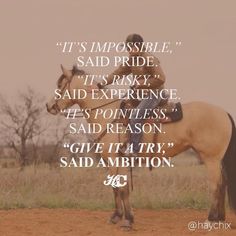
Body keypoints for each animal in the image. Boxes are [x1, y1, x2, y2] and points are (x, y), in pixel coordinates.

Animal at [46, 65, 236, 230]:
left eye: (60, 85)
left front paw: (128, 220)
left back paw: (210, 220)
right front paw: (116, 216)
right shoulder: (111, 162)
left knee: (216, 185)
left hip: (211, 159)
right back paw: (220, 219)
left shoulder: (118, 160)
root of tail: (223, 112)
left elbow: (123, 190)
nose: (49, 106)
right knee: (223, 183)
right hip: (216, 159)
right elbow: (115, 188)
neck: (109, 115)